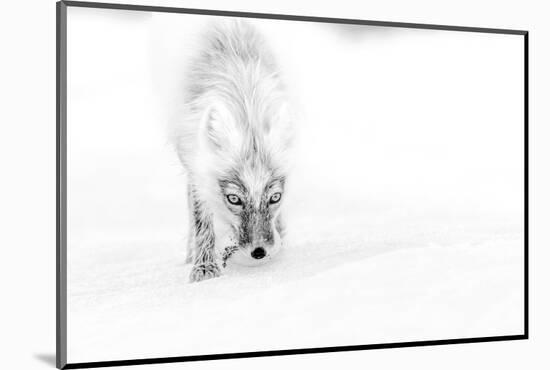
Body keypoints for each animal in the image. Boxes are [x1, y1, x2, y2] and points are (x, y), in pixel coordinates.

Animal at [177, 21, 298, 284]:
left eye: (275, 197)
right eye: (234, 199)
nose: (259, 252)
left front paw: (280, 240)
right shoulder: (195, 163)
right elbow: (202, 219)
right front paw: (204, 268)